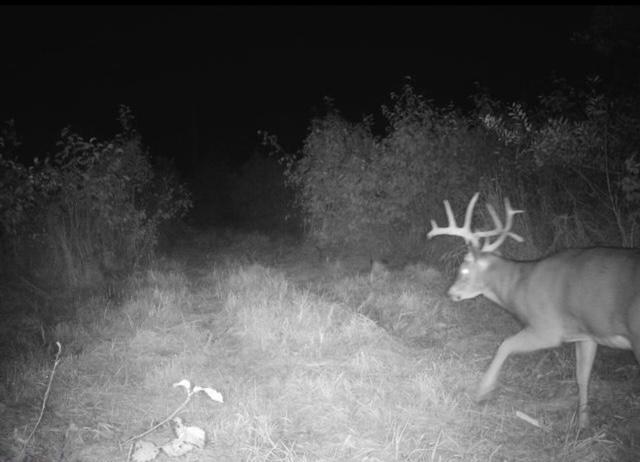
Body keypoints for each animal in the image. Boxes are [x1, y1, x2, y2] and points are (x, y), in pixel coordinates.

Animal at [427, 192, 640, 429]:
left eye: (463, 269)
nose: (450, 292)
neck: (519, 288)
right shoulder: (586, 333)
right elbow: (582, 376)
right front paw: (583, 423)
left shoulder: (547, 327)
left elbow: (504, 345)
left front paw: (481, 391)